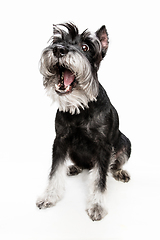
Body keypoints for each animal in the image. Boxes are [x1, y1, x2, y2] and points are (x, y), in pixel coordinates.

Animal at [36, 22, 131, 221]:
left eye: (86, 47)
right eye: (58, 41)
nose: (59, 49)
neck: (81, 107)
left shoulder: (104, 148)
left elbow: (100, 179)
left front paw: (97, 205)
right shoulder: (60, 141)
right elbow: (55, 171)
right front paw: (49, 197)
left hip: (126, 143)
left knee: (114, 164)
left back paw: (120, 172)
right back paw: (74, 168)